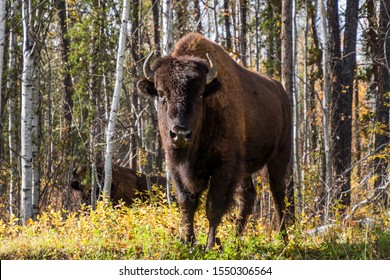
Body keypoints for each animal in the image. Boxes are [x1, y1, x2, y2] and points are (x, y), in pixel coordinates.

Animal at [138, 32, 292, 249]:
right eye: (161, 94)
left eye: (200, 94)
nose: (180, 133)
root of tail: (281, 92)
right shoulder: (175, 166)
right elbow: (187, 203)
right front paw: (188, 242)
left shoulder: (224, 166)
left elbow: (213, 206)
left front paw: (210, 245)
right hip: (245, 168)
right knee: (248, 197)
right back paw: (236, 239)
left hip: (279, 155)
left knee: (278, 193)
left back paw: (284, 239)